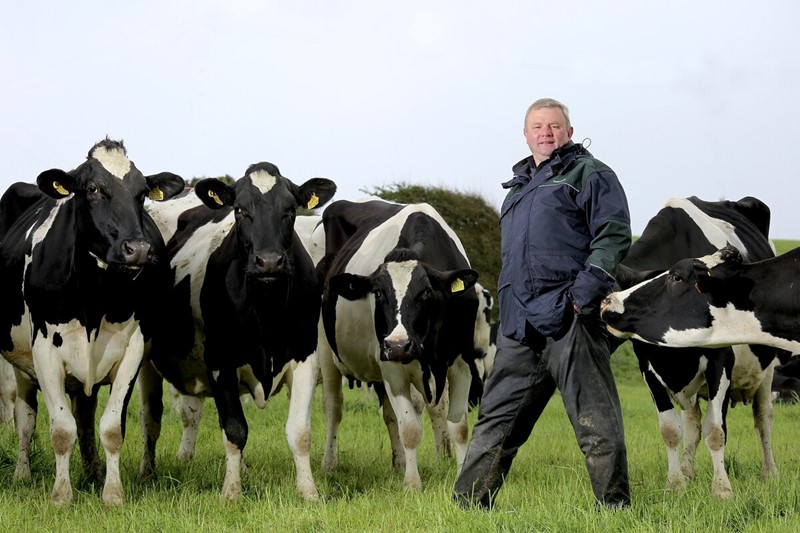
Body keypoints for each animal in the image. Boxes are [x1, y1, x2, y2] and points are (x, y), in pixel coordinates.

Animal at [0, 139, 184, 504]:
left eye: (142, 192)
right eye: (93, 189)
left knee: (86, 416)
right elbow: (60, 429)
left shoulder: (132, 350)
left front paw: (112, 493)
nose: (138, 249)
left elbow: (111, 428)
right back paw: (22, 474)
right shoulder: (44, 350)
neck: (93, 299)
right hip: (20, 362)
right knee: (25, 418)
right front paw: (61, 496)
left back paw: (94, 473)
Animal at [138, 161, 334, 498]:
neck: (266, 311)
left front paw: (308, 491)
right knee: (151, 418)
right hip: (147, 362)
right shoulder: (221, 363)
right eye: (240, 209)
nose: (269, 261)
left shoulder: (305, 357)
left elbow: (300, 431)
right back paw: (147, 473)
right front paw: (231, 492)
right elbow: (234, 429)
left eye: (290, 209)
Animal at [314, 198, 478, 490]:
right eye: (378, 293)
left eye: (425, 292)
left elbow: (458, 427)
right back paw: (329, 464)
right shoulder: (391, 366)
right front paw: (412, 484)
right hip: (327, 349)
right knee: (334, 409)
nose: (399, 345)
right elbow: (410, 428)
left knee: (390, 415)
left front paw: (461, 477)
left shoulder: (461, 363)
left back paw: (399, 462)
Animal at [608, 196, 780, 498]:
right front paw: (675, 484)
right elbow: (671, 429)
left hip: (766, 369)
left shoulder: (720, 361)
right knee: (692, 422)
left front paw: (722, 489)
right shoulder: (649, 367)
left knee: (763, 418)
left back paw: (769, 474)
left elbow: (716, 430)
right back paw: (688, 473)